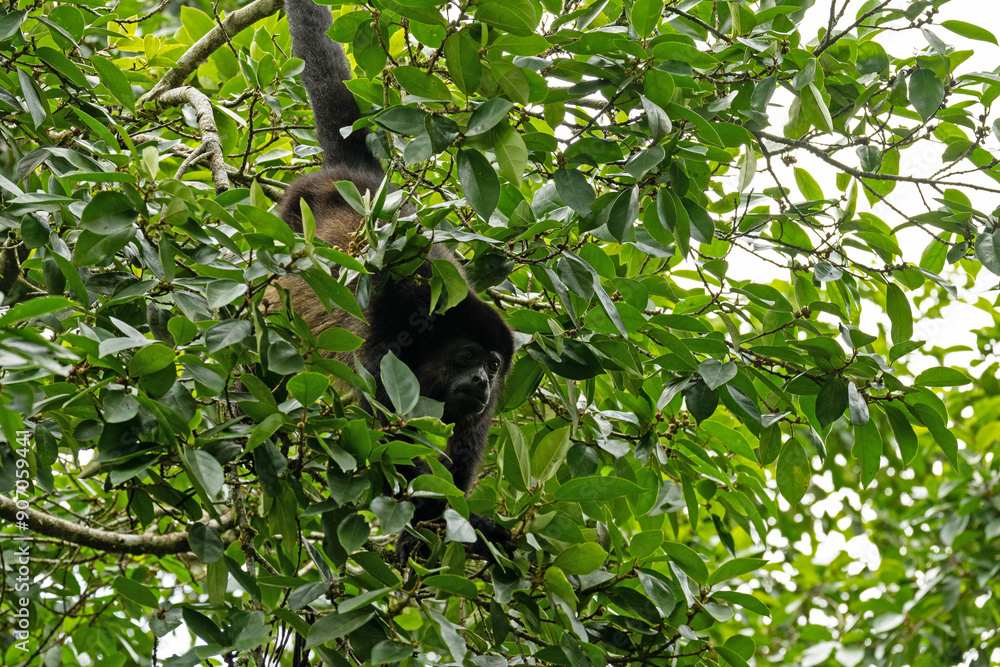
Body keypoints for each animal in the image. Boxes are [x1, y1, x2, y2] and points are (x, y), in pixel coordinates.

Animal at [280, 0, 516, 564]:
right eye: (468, 356)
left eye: (494, 365)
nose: (482, 381)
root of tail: (355, 176)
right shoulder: (397, 320)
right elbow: (383, 421)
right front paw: (441, 518)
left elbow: (460, 454)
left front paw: (459, 523)